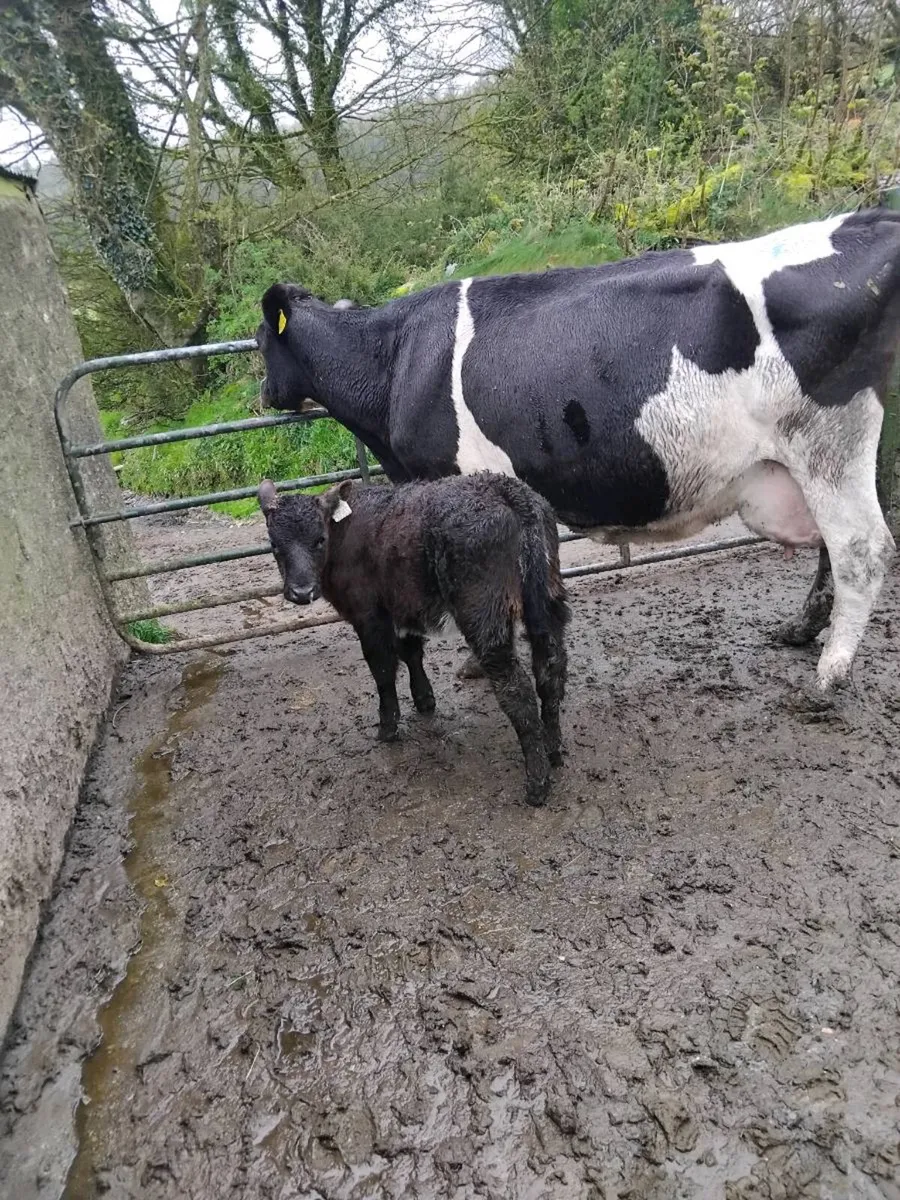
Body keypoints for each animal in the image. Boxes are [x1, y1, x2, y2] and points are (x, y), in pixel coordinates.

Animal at [256, 209, 900, 693]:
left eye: (262, 342)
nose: (264, 393)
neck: (394, 361)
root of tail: (865, 219)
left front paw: (475, 662)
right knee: (834, 549)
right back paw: (800, 630)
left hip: (827, 443)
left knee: (861, 548)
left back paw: (831, 672)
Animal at [258, 473, 570, 806]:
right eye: (274, 545)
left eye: (319, 540)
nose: (301, 592)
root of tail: (510, 494)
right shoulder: (404, 608)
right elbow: (412, 653)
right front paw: (424, 700)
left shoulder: (369, 616)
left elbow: (382, 669)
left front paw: (387, 726)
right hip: (545, 600)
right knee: (550, 670)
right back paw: (552, 749)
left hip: (485, 616)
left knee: (517, 691)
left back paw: (537, 783)